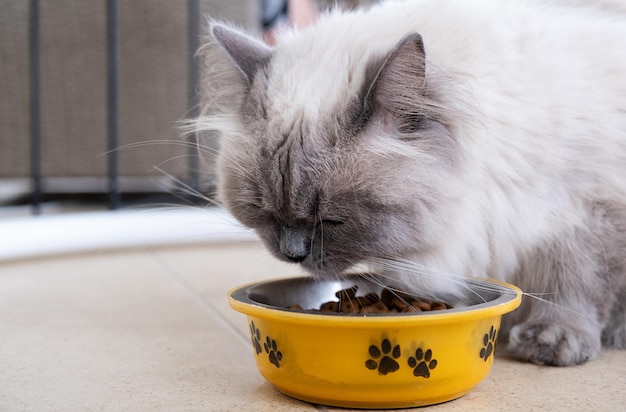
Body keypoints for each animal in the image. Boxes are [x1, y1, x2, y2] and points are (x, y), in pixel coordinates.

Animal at [194, 0, 624, 366]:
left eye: (332, 219)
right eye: (262, 211)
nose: (293, 253)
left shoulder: (582, 213)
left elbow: (572, 282)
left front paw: (553, 340)